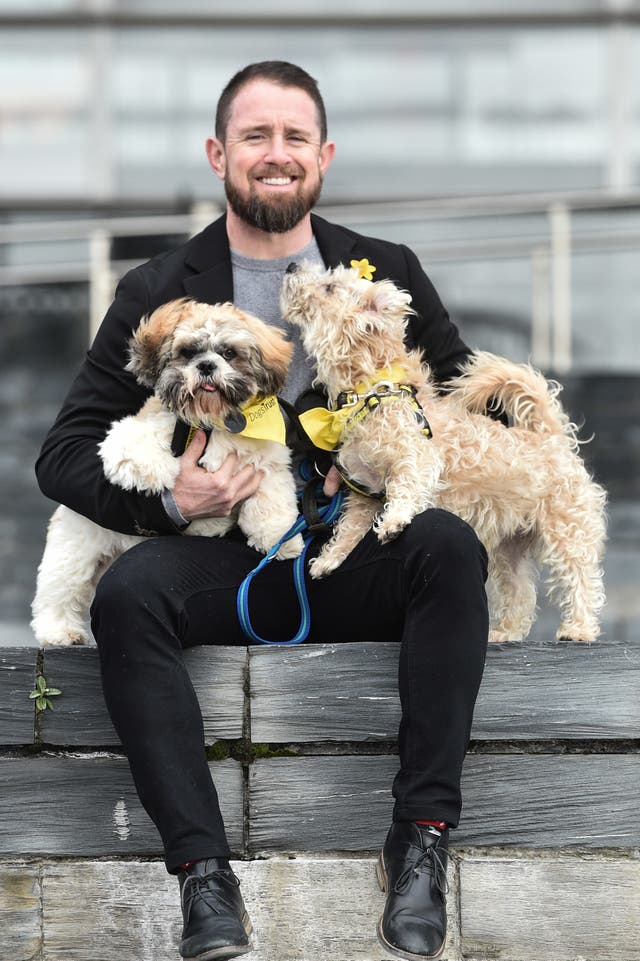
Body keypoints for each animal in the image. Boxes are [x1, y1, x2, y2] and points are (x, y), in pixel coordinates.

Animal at [33, 298, 304, 644]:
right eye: (188, 352)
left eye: (229, 353)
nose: (207, 365)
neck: (211, 422)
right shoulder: (130, 435)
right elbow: (135, 451)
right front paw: (165, 472)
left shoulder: (267, 461)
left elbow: (270, 504)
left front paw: (281, 541)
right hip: (76, 548)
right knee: (60, 589)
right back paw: (58, 630)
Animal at [282, 262, 608, 640]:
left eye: (330, 287)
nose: (291, 265)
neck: (372, 392)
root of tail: (550, 435)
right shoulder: (362, 494)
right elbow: (349, 529)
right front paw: (330, 559)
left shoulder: (417, 457)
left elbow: (405, 486)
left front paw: (395, 521)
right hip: (510, 547)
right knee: (520, 591)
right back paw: (506, 632)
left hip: (567, 529)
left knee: (581, 578)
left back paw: (579, 628)